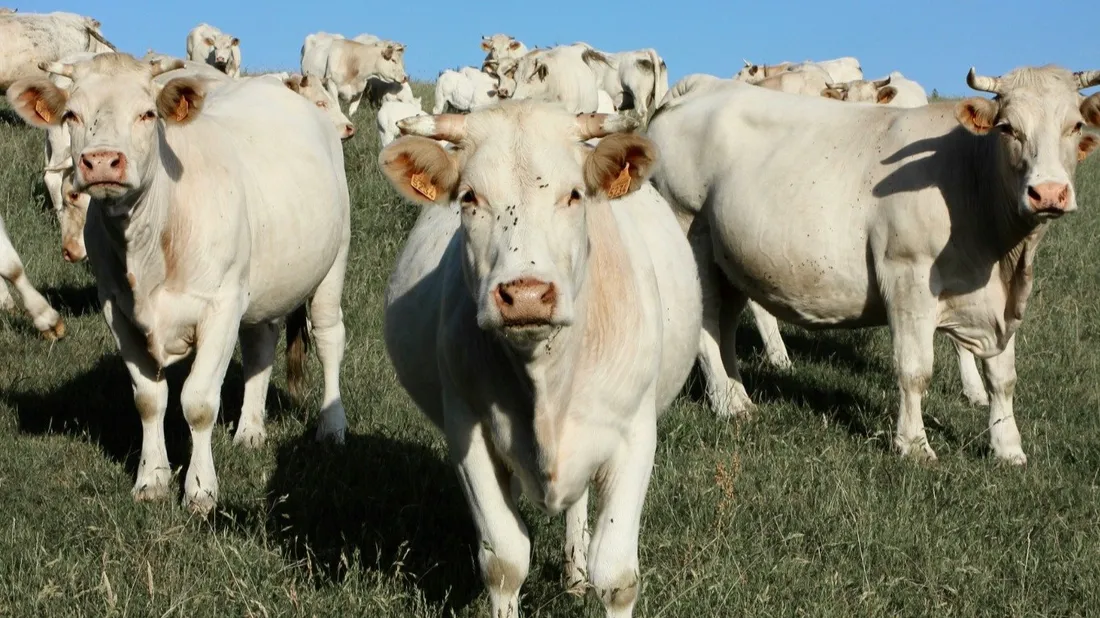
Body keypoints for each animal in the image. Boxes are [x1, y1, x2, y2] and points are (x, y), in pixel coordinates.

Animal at [7, 52, 352, 513]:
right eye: (71, 115)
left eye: (147, 113)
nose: (102, 161)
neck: (150, 243)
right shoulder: (117, 310)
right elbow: (149, 400)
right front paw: (151, 479)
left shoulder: (221, 305)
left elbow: (199, 403)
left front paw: (201, 490)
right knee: (260, 344)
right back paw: (250, 429)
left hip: (333, 261)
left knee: (329, 335)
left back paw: (331, 427)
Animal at [379, 101, 702, 617]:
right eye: (469, 197)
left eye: (574, 195)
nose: (526, 295)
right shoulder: (468, 430)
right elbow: (504, 561)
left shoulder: (634, 433)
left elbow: (616, 575)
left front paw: (591, 576)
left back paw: (574, 575)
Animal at [647, 65, 1100, 464]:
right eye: (1007, 128)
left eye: (1076, 126)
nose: (1048, 192)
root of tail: (702, 86)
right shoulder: (908, 277)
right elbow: (915, 370)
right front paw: (914, 446)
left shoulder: (998, 302)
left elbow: (1003, 377)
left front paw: (1009, 449)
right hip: (690, 229)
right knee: (707, 321)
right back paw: (728, 403)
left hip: (731, 258)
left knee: (724, 324)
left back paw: (738, 395)